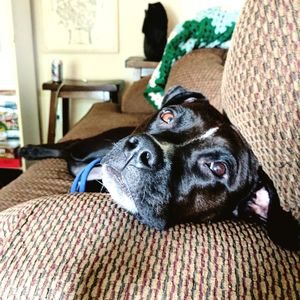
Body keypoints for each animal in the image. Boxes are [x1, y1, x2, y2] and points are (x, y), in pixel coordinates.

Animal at [19, 86, 298, 248]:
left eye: (218, 168)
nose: (142, 150)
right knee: (69, 146)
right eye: (167, 116)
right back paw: (29, 150)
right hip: (88, 149)